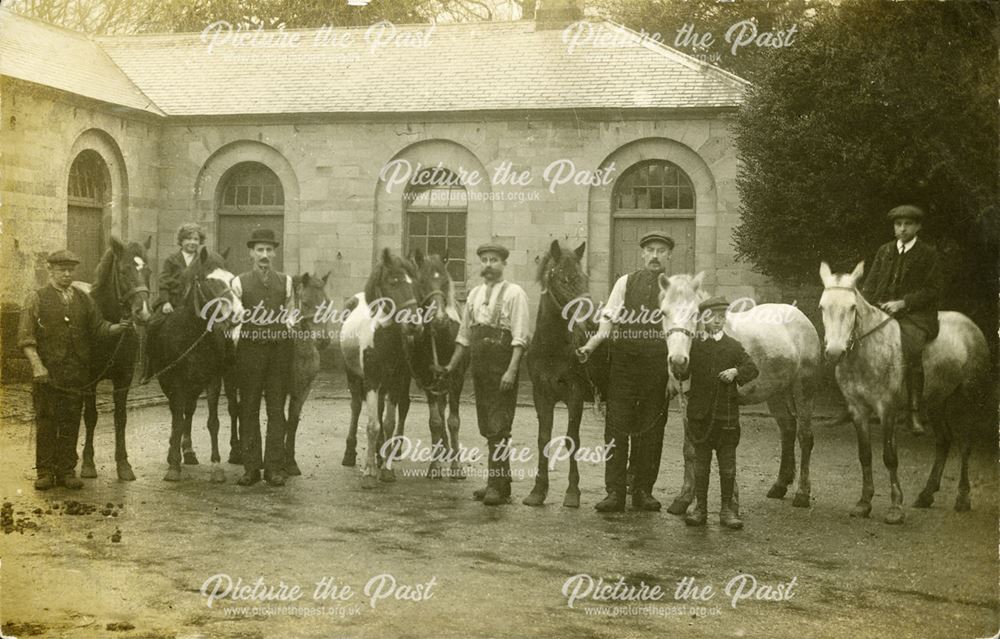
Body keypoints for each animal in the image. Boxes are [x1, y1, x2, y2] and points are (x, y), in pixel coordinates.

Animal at [79, 235, 152, 480]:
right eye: (123, 271)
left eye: (148, 270)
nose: (143, 313)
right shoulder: (89, 379)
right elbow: (91, 416)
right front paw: (88, 463)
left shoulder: (124, 378)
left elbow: (121, 418)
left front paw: (124, 465)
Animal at [152, 248, 238, 482]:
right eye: (210, 281)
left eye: (232, 278)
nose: (237, 313)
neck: (192, 331)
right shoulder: (175, 381)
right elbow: (177, 420)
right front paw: (173, 466)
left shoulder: (212, 380)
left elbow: (213, 422)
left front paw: (216, 466)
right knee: (180, 413)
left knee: (192, 411)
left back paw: (192, 451)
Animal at [342, 248, 424, 488]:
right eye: (393, 282)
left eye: (415, 283)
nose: (414, 324)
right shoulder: (370, 380)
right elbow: (372, 425)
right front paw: (369, 472)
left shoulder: (396, 381)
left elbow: (388, 423)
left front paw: (386, 469)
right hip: (354, 376)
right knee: (356, 407)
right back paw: (350, 454)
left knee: (379, 410)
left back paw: (380, 454)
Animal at [406, 250, 468, 480]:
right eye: (422, 282)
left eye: (445, 281)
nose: (440, 318)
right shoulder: (427, 380)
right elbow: (435, 421)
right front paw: (435, 466)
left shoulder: (457, 379)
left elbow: (454, 421)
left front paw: (457, 467)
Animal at [524, 241, 608, 510]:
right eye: (563, 279)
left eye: (585, 278)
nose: (592, 322)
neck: (552, 348)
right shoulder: (542, 396)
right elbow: (543, 438)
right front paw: (538, 491)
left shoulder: (575, 396)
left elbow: (572, 440)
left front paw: (572, 493)